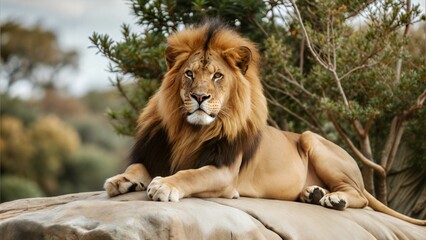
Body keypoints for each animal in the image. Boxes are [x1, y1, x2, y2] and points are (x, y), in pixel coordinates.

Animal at [104, 20, 426, 225]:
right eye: (189, 74)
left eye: (217, 75)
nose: (199, 97)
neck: (190, 130)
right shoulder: (156, 153)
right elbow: (137, 166)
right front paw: (120, 180)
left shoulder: (224, 173)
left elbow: (189, 175)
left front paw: (164, 185)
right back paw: (313, 193)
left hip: (310, 138)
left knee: (360, 197)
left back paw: (334, 199)